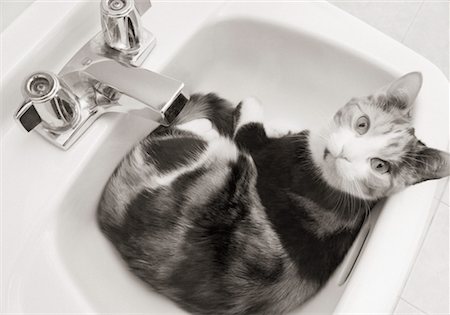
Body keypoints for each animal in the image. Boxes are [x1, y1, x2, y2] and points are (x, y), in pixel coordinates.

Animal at [96, 72, 448, 315]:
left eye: (379, 165)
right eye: (363, 124)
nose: (344, 153)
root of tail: (109, 218)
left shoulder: (267, 155)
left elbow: (249, 127)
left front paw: (253, 105)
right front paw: (284, 124)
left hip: (206, 167)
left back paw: (202, 128)